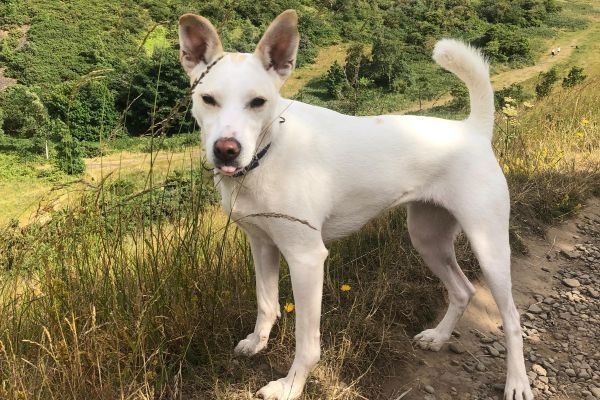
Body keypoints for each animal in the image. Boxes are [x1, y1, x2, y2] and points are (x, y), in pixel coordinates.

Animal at [178, 9, 536, 400]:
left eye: (257, 102)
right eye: (208, 99)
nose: (226, 150)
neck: (269, 151)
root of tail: (473, 131)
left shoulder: (306, 259)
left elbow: (306, 342)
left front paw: (290, 385)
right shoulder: (262, 245)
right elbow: (266, 303)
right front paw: (257, 343)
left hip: (489, 247)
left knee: (512, 319)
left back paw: (517, 382)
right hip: (427, 239)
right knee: (463, 290)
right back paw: (439, 337)